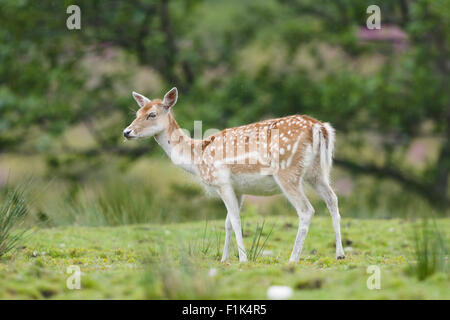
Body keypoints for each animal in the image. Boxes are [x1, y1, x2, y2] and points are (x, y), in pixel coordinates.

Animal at [123, 87, 344, 262]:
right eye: (137, 112)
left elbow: (236, 219)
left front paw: (243, 259)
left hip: (288, 171)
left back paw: (293, 258)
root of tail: (319, 127)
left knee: (306, 210)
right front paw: (224, 259)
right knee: (332, 199)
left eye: (151, 114)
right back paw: (340, 254)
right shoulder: (239, 189)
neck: (197, 158)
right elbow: (227, 222)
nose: (126, 132)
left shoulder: (221, 182)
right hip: (317, 172)